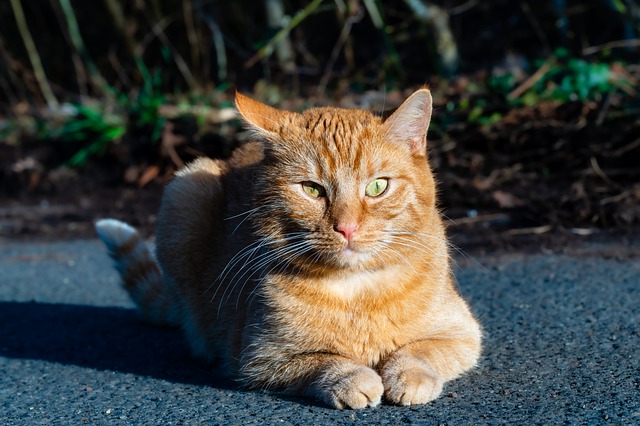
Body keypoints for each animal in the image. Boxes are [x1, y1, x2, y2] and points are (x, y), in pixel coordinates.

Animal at [96, 89, 480, 410]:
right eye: (311, 190)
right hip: (187, 189)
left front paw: (407, 375)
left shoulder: (463, 334)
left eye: (377, 187)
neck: (356, 291)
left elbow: (420, 352)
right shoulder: (260, 358)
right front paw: (353, 378)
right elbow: (323, 361)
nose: (347, 227)